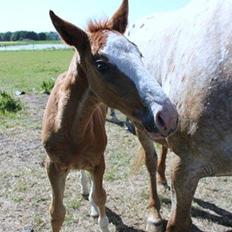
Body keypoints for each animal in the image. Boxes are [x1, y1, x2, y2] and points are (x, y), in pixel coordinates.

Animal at [41, 0, 178, 231]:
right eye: (101, 65)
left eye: (139, 54)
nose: (167, 116)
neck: (72, 131)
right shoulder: (53, 166)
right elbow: (56, 213)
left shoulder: (99, 161)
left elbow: (101, 197)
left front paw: (97, 210)